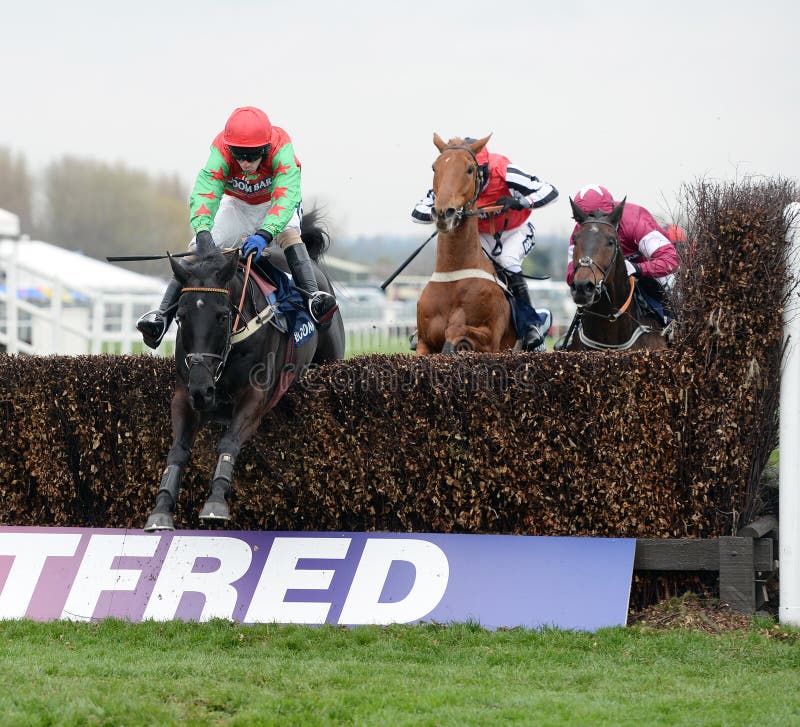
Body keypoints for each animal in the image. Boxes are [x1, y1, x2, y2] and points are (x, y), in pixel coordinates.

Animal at [145, 210, 346, 528]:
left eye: (222, 315)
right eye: (180, 316)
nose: (202, 390)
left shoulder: (255, 397)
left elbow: (229, 442)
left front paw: (216, 501)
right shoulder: (183, 394)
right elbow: (177, 449)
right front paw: (161, 507)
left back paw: (319, 301)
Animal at [416, 135, 516, 356]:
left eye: (470, 169)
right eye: (435, 167)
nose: (443, 212)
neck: (453, 277)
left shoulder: (492, 340)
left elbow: (457, 328)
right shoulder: (423, 341)